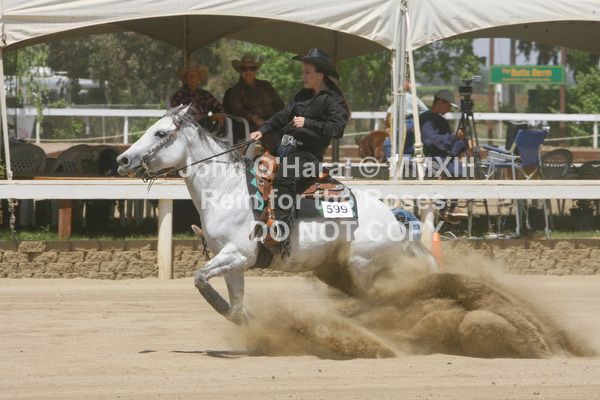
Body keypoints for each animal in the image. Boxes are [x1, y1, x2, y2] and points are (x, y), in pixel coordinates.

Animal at [117, 106, 438, 324]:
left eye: (160, 133)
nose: (123, 159)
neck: (225, 188)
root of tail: (395, 222)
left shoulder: (240, 254)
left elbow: (199, 278)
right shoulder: (232, 262)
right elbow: (233, 302)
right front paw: (244, 322)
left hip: (362, 266)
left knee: (375, 300)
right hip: (337, 269)